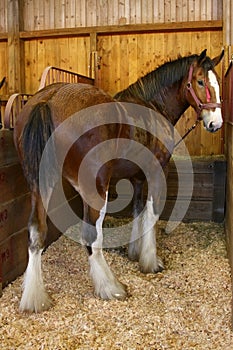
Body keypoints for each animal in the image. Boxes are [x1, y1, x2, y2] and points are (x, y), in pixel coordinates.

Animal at [13, 48, 224, 312]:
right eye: (200, 81)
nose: (216, 123)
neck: (153, 107)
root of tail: (49, 99)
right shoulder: (157, 171)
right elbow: (152, 214)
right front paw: (150, 261)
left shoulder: (137, 177)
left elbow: (137, 210)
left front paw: (135, 251)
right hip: (95, 189)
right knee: (91, 237)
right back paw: (110, 287)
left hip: (39, 185)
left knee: (36, 232)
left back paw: (34, 298)